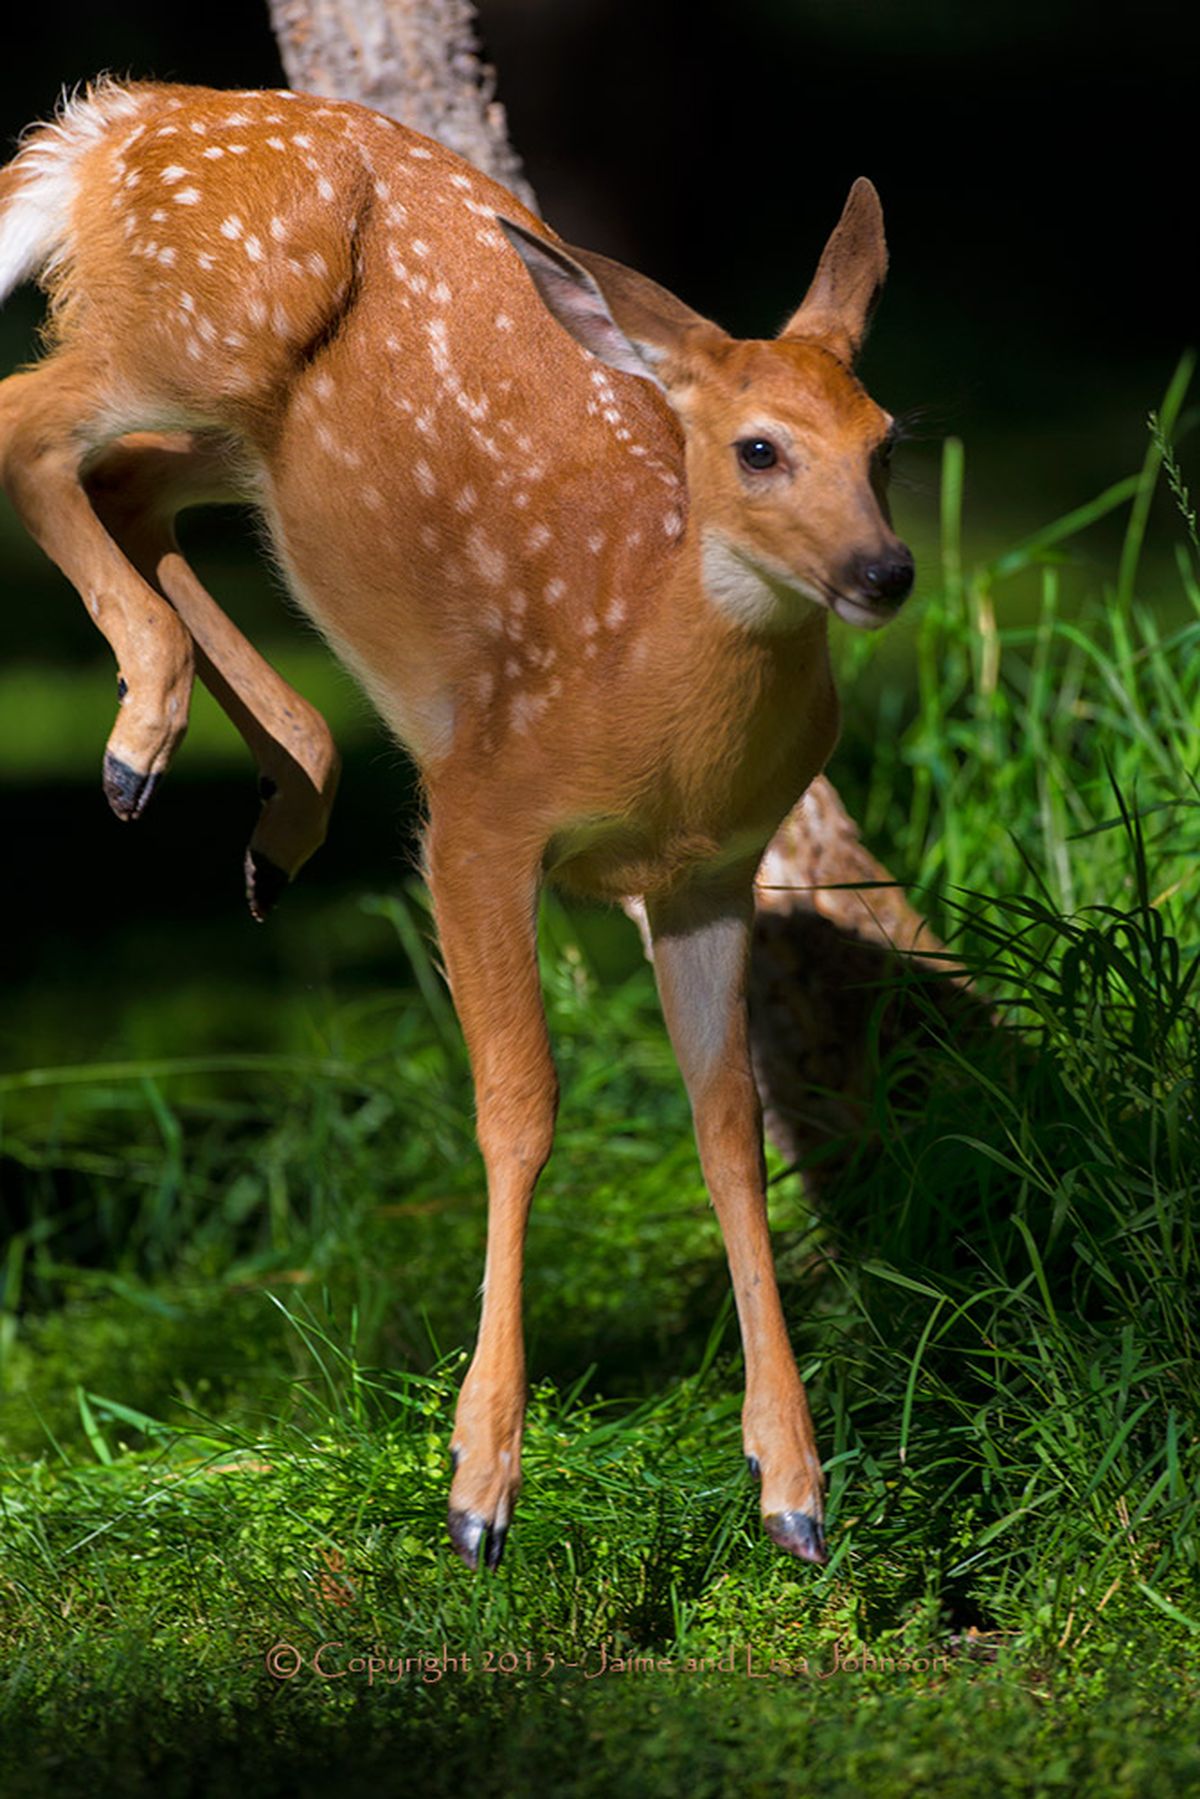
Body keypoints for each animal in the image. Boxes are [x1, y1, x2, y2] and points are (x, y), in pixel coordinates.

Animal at [0, 78, 914, 1572]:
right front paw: (480, 1482)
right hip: (200, 328)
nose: (882, 571)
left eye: (886, 440)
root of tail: (116, 118)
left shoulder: (711, 876)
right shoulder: (484, 813)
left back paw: (284, 803)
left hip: (248, 419)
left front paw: (793, 1484)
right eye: (757, 448)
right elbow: (519, 1106)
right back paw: (142, 732)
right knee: (27, 416)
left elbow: (728, 1130)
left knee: (130, 483)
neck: (640, 682)